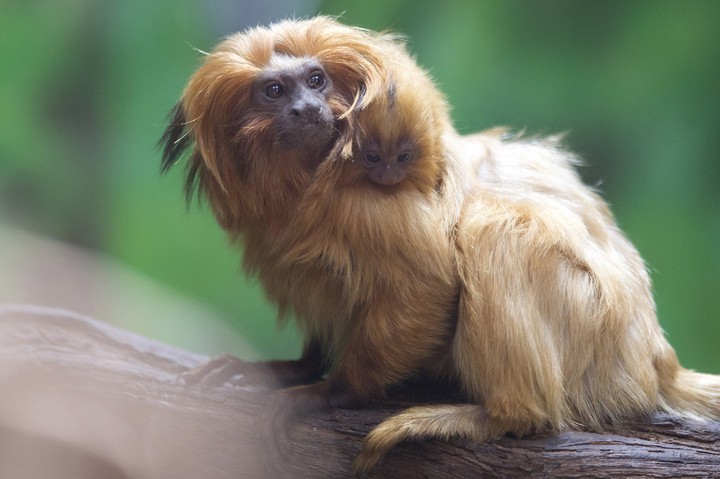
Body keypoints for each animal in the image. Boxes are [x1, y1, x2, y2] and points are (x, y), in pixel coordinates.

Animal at [161, 16, 720, 476]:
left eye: (316, 80)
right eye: (274, 91)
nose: (305, 108)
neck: (308, 183)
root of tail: (654, 360)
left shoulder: (372, 205)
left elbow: (427, 287)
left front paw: (327, 392)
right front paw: (294, 368)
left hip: (595, 330)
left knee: (494, 230)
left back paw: (492, 416)